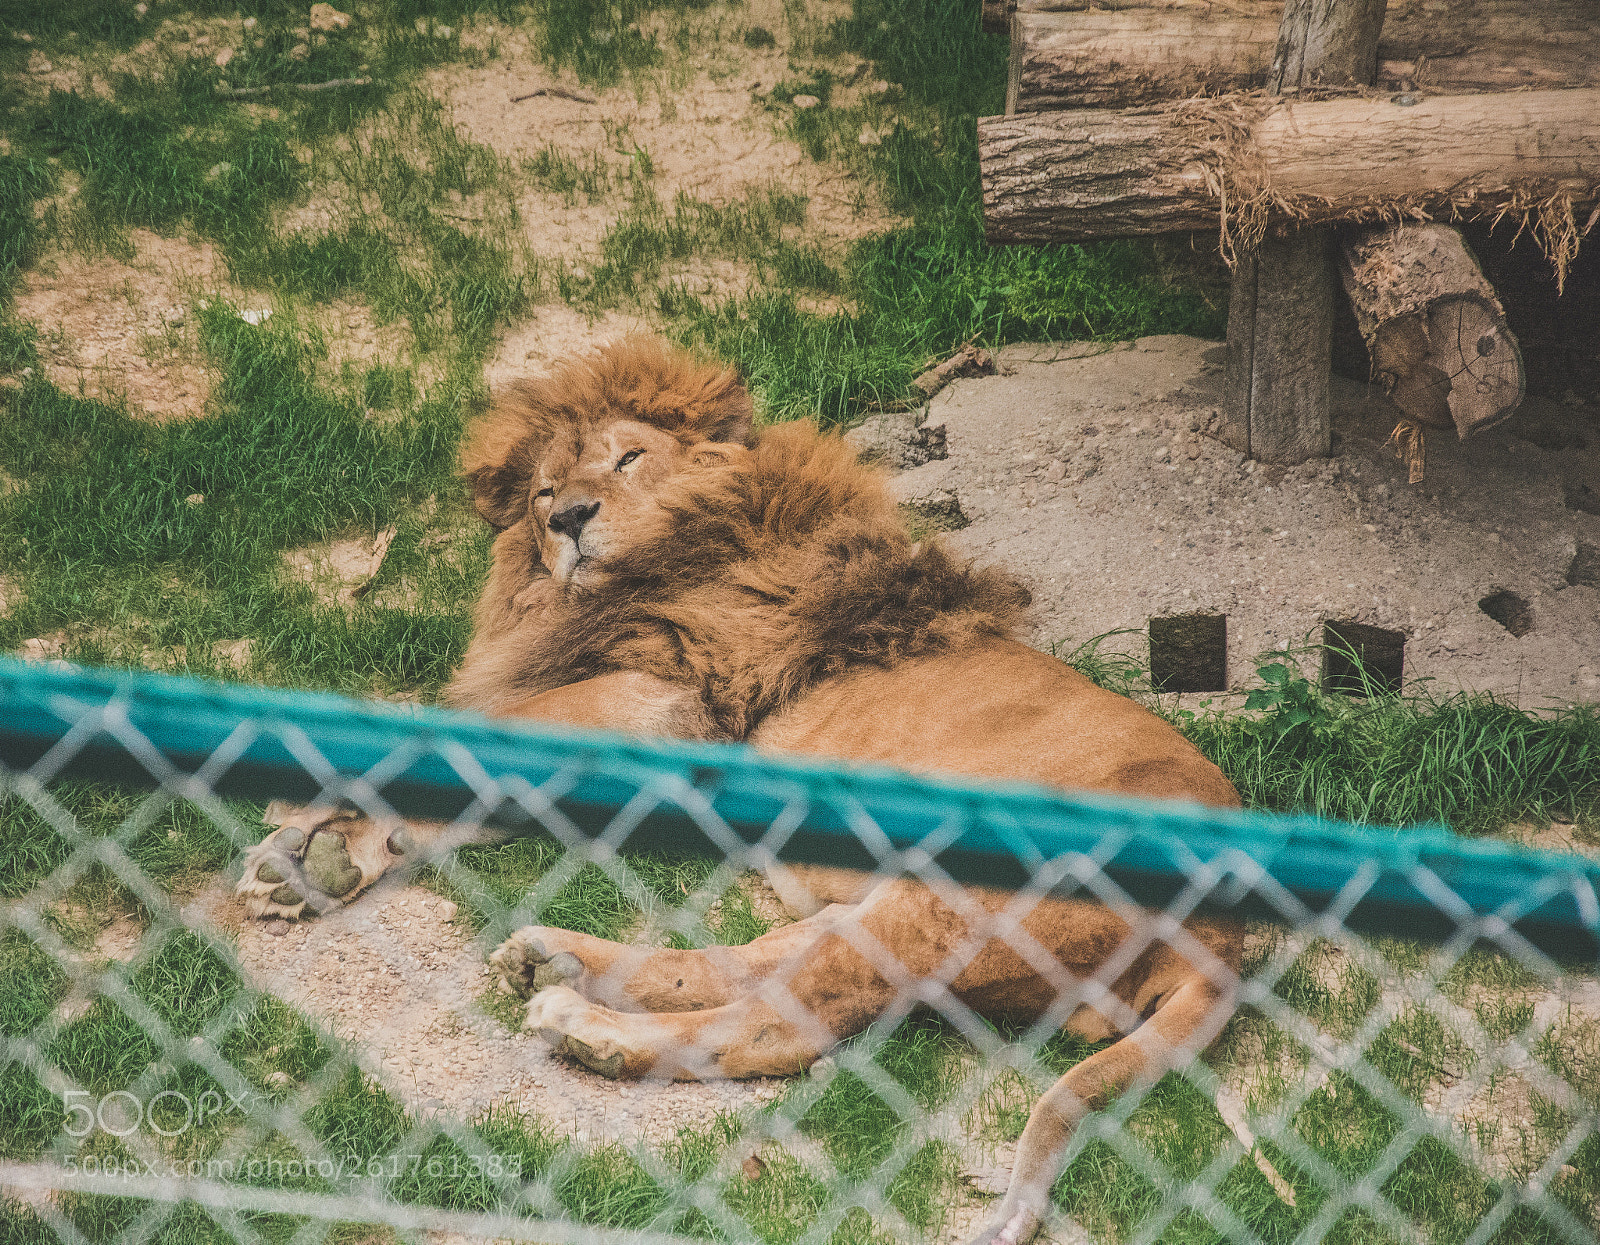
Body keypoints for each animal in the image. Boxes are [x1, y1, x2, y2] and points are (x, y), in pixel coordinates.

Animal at [236, 337, 1254, 1245]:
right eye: (540, 493)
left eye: (629, 456)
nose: (569, 518)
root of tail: (1224, 936)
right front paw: (315, 863)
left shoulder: (662, 698)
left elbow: (451, 732)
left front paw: (300, 821)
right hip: (901, 906)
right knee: (763, 963)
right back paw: (558, 962)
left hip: (959, 903)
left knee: (791, 1019)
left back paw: (589, 1027)